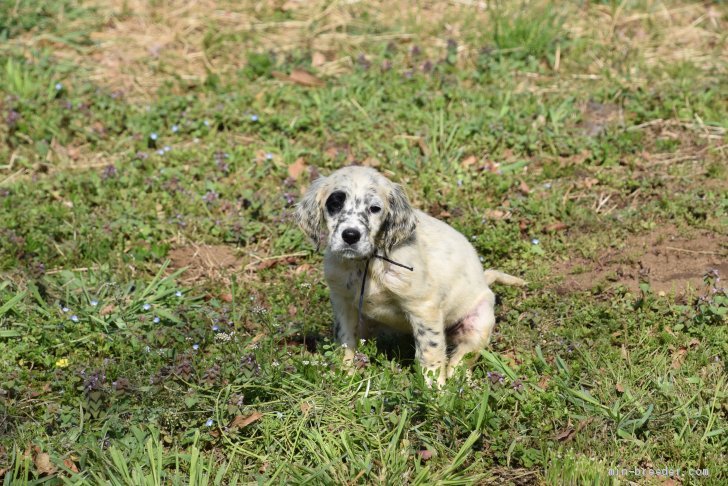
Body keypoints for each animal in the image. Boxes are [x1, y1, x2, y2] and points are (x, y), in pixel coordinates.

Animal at [296, 165, 524, 386]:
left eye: (374, 208)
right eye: (335, 204)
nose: (351, 236)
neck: (368, 265)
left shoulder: (423, 307)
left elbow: (430, 353)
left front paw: (434, 390)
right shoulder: (342, 301)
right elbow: (346, 339)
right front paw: (346, 374)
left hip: (479, 321)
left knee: (463, 357)